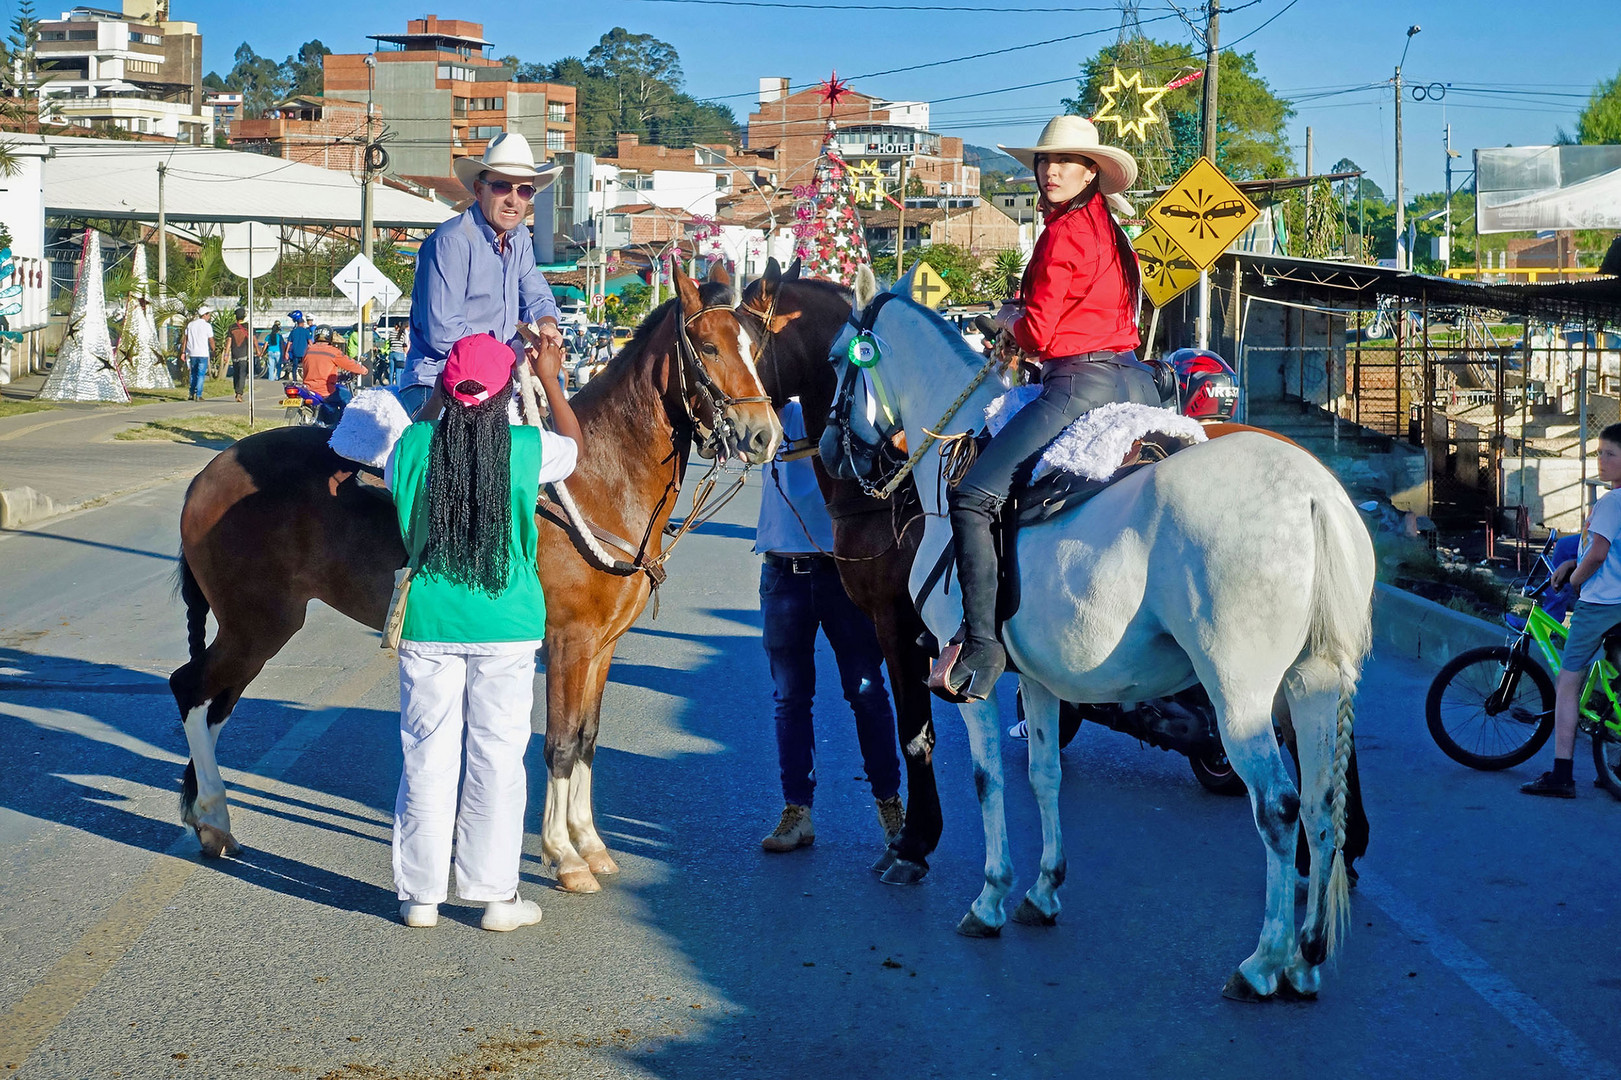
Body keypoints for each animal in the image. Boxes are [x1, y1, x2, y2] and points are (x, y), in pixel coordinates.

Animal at [174, 262, 781, 888]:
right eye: (707, 346)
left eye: (757, 346)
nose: (764, 434)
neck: (595, 475)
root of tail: (207, 475)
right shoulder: (569, 643)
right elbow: (559, 744)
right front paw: (563, 855)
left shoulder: (602, 646)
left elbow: (587, 738)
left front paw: (589, 842)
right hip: (258, 625)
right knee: (191, 690)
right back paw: (213, 817)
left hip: (255, 629)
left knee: (214, 705)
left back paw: (208, 817)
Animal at [823, 274, 1381, 998]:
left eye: (838, 363)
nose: (828, 450)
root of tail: (1311, 492)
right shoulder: (1037, 679)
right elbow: (1044, 774)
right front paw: (1042, 890)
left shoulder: (966, 676)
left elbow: (986, 779)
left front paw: (991, 895)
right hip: (1313, 681)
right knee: (1320, 802)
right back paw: (1306, 957)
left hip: (1242, 697)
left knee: (1280, 808)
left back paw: (1264, 962)